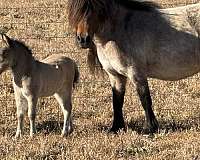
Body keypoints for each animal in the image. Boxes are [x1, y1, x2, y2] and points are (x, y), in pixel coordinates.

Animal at [67, 0, 200, 132]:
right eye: (76, 10)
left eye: (96, 9)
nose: (83, 39)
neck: (120, 30)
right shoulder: (115, 76)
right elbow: (117, 100)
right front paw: (116, 128)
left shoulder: (136, 73)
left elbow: (145, 99)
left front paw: (150, 128)